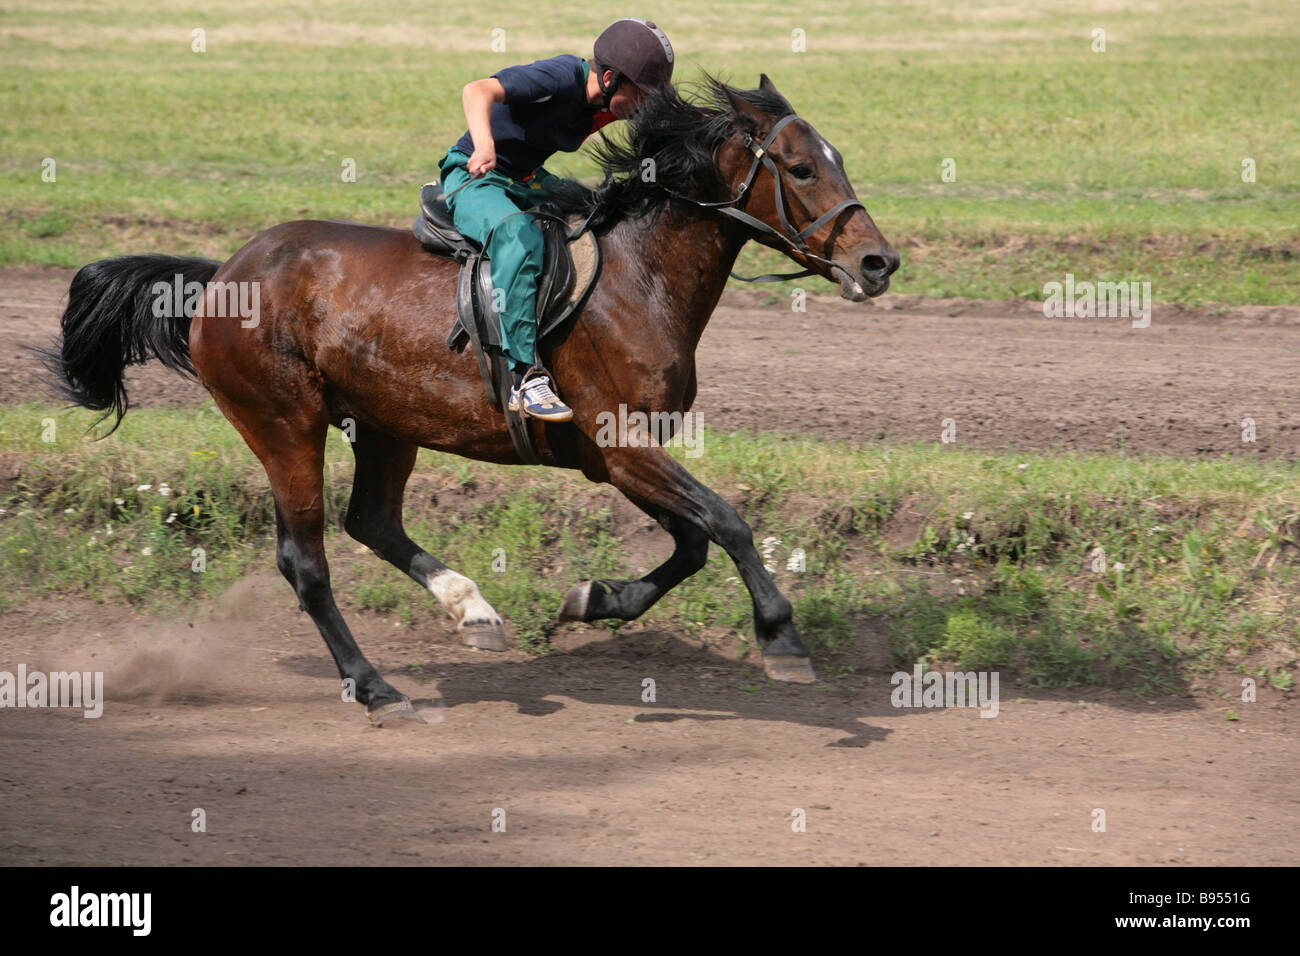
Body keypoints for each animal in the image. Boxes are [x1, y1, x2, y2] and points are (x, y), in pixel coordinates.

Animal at [48, 74, 904, 723]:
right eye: (800, 169)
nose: (879, 262)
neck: (639, 280)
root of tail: (221, 275)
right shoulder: (621, 445)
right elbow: (727, 522)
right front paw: (781, 636)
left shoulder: (618, 457)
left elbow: (693, 541)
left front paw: (594, 599)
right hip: (283, 423)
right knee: (306, 561)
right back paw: (377, 687)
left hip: (386, 424)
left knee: (372, 522)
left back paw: (473, 610)